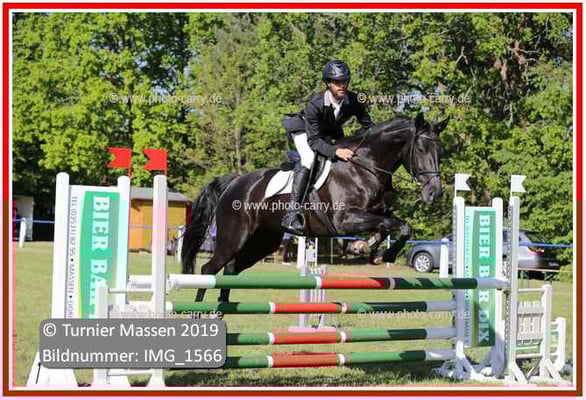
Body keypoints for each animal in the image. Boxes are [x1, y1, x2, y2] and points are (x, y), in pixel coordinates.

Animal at [181, 113, 449, 302]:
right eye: (421, 149)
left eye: (441, 150)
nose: (434, 192)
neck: (365, 166)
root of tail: (235, 182)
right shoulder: (345, 219)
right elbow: (397, 225)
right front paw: (376, 251)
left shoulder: (378, 213)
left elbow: (395, 225)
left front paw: (367, 247)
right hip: (233, 237)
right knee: (208, 269)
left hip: (263, 241)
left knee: (231, 268)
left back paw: (222, 309)